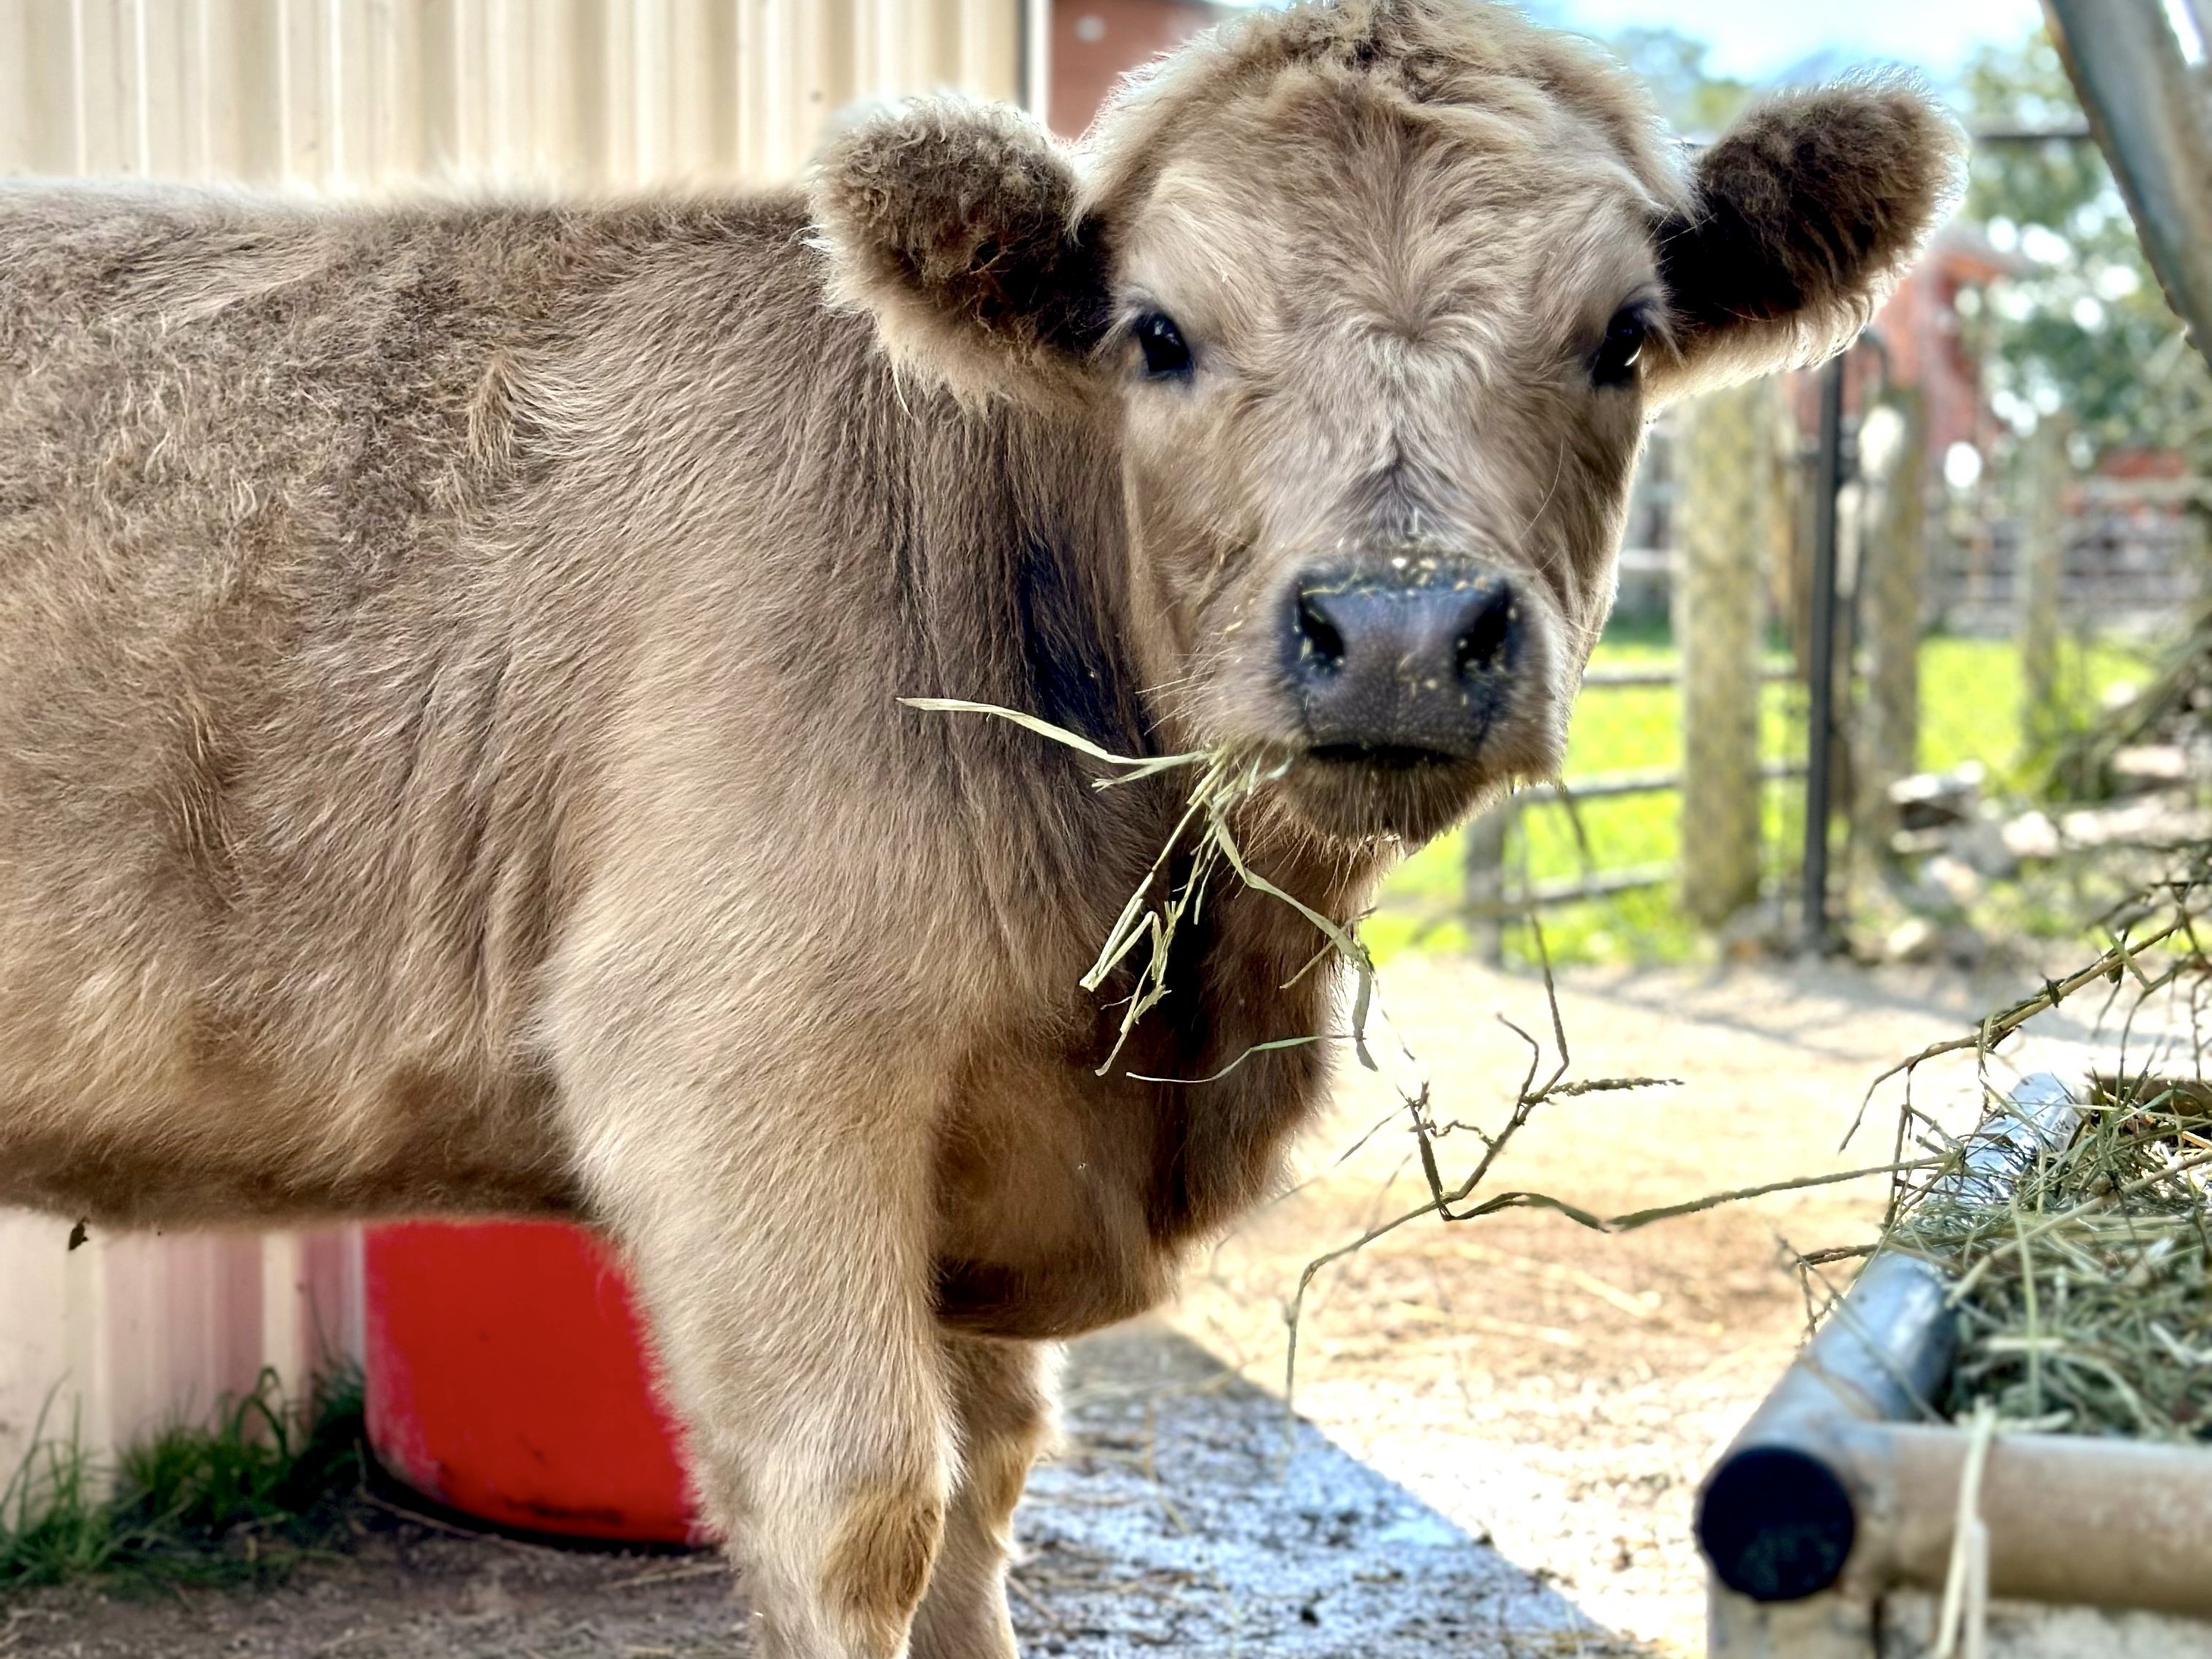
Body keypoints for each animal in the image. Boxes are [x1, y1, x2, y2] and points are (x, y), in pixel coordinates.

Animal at [0, 1, 1957, 1653]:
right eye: (1157, 335)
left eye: (1621, 339)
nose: (1399, 627)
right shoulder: (739, 1074)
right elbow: (867, 1509)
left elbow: (992, 1487)